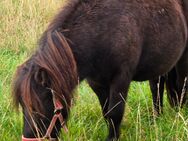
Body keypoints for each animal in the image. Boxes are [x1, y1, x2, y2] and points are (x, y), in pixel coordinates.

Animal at [12, 0, 187, 140]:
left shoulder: (121, 79)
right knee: (157, 87)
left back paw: (178, 115)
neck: (103, 31)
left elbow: (115, 112)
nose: (27, 138)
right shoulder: (97, 83)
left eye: (37, 107)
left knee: (181, 85)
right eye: (22, 106)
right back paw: (156, 118)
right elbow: (106, 112)